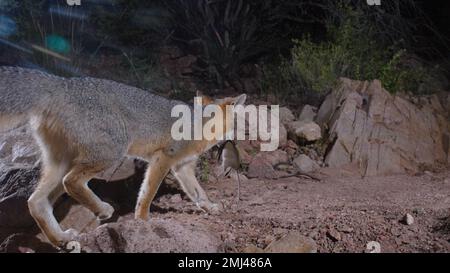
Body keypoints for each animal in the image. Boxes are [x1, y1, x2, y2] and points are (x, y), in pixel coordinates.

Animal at [0, 66, 246, 246]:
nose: (240, 134)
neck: (200, 123)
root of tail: (62, 83)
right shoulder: (163, 158)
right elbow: (148, 192)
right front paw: (143, 219)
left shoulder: (182, 167)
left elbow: (198, 193)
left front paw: (209, 207)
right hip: (111, 153)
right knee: (71, 181)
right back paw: (102, 209)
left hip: (61, 162)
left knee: (36, 202)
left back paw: (60, 239)